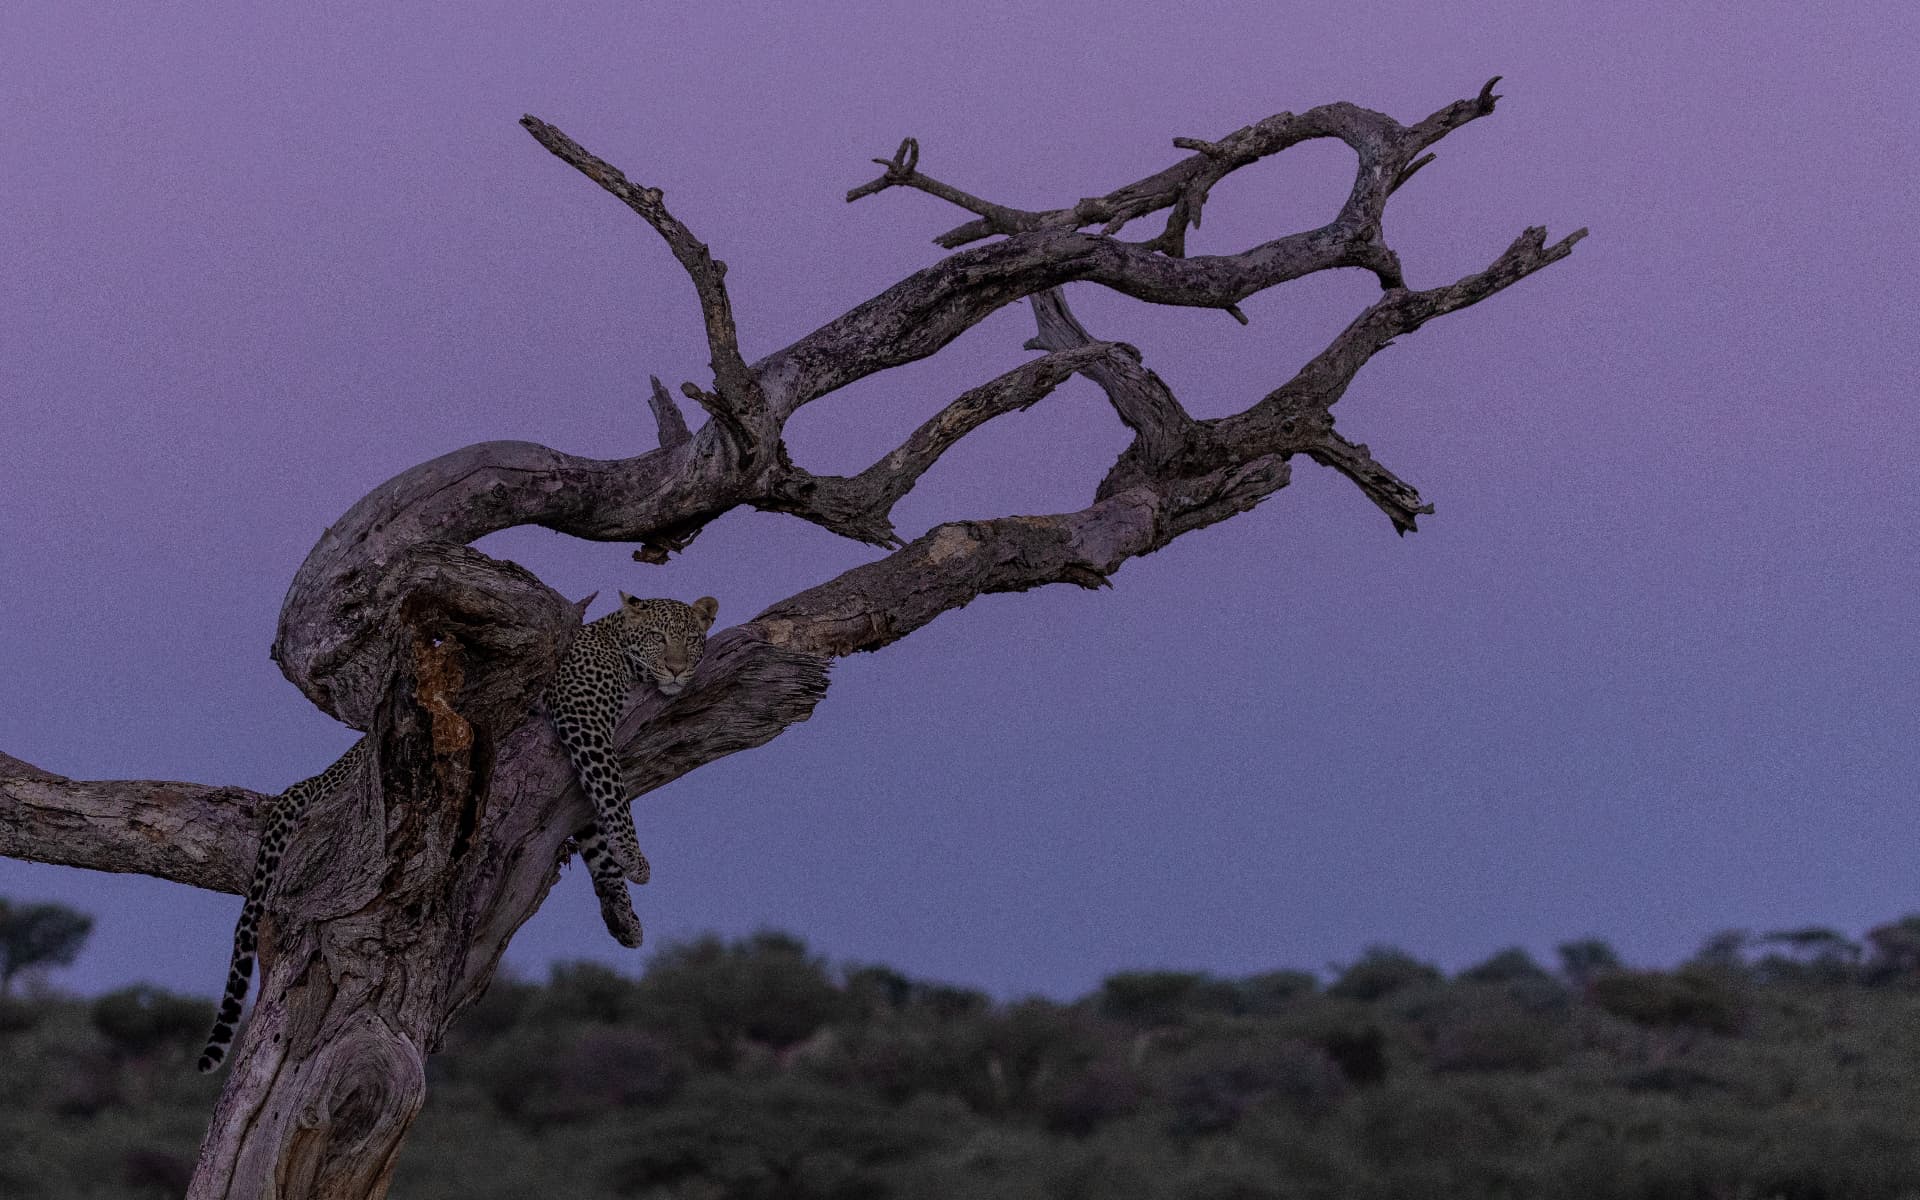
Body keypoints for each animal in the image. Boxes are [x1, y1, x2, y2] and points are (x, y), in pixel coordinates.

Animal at [196, 593, 717, 1072]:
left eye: (692, 639)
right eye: (657, 638)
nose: (676, 669)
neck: (620, 652)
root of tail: (342, 761)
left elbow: (596, 837)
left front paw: (623, 914)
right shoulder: (582, 720)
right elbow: (613, 790)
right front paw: (635, 857)